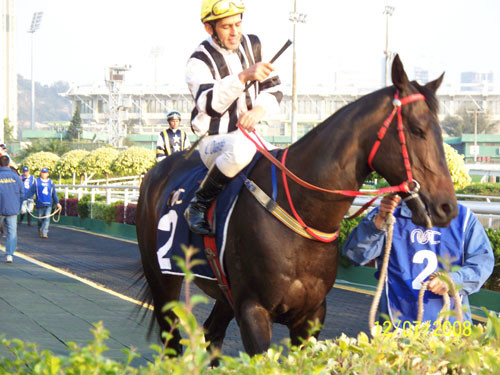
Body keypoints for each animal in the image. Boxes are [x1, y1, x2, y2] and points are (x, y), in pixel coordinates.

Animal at [137, 56, 458, 358]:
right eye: (417, 130)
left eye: (442, 132)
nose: (447, 208)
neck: (301, 211)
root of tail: (155, 173)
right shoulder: (253, 310)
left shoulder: (311, 316)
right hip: (162, 279)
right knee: (171, 339)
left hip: (225, 294)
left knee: (212, 333)